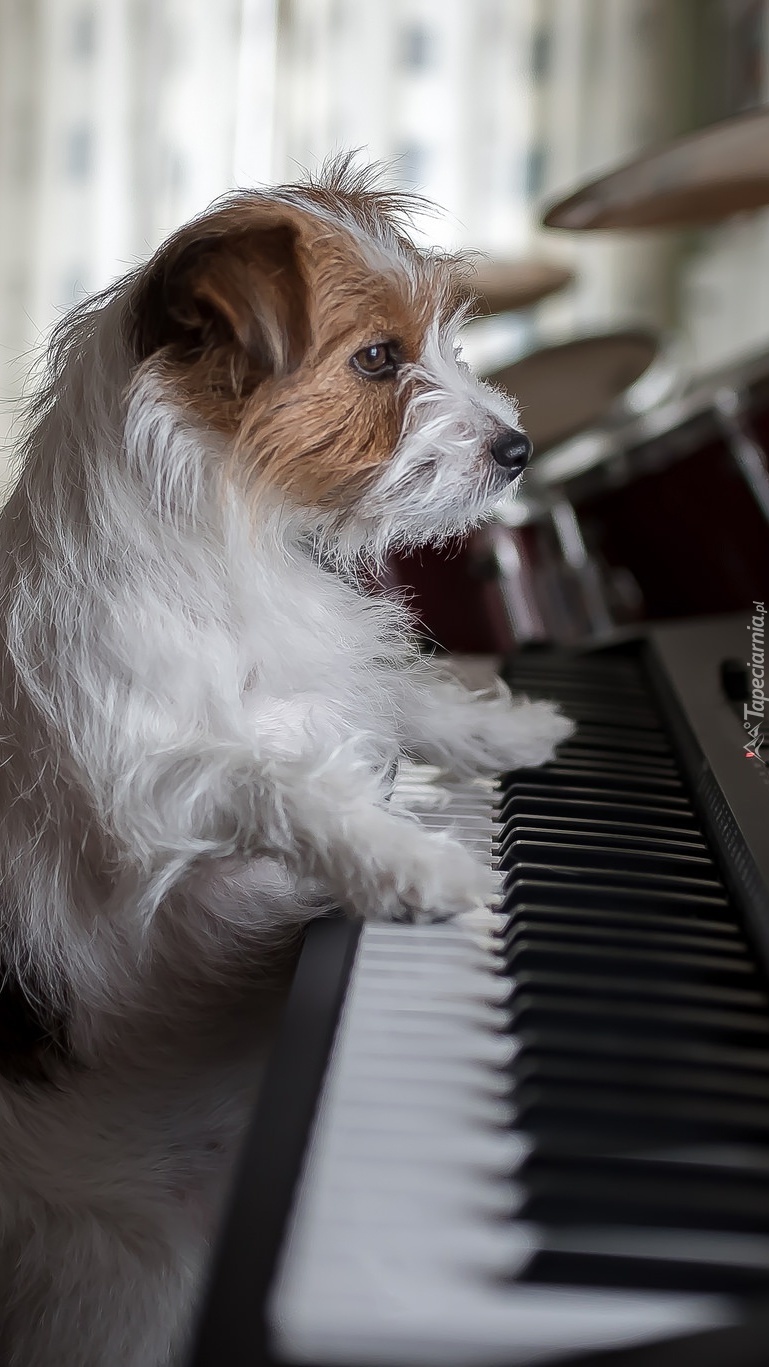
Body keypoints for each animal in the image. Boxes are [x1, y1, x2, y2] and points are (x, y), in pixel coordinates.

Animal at [0, 155, 570, 1361]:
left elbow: (400, 696)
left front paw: (508, 730)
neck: (228, 528)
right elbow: (278, 779)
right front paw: (407, 863)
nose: (517, 449)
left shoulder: (330, 676)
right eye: (378, 359)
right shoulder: (149, 794)